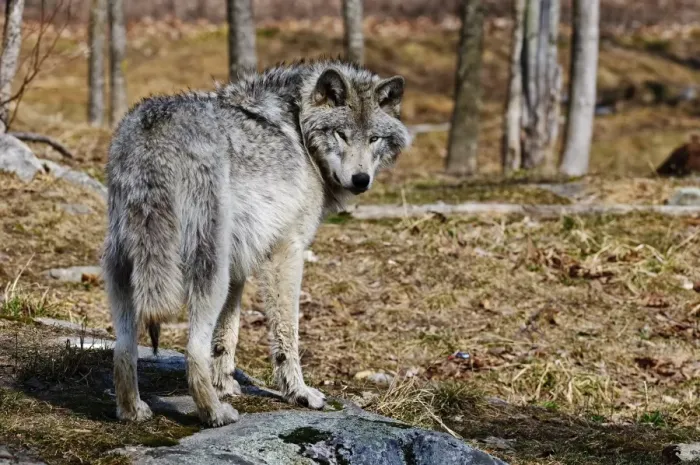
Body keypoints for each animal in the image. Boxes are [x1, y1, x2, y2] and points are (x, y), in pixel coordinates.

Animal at [102, 59, 410, 426]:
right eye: (341, 134)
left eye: (374, 138)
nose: (361, 180)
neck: (299, 126)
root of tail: (155, 130)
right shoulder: (286, 252)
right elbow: (287, 334)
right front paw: (299, 393)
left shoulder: (239, 263)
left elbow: (227, 334)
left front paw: (224, 384)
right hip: (210, 272)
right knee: (192, 350)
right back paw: (215, 414)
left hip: (124, 267)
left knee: (123, 348)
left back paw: (132, 411)